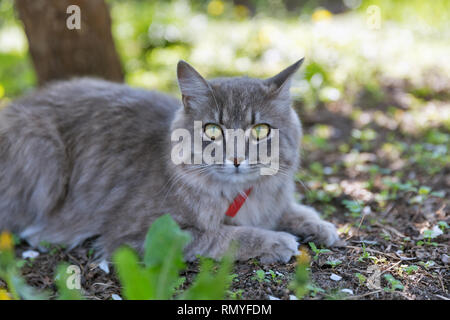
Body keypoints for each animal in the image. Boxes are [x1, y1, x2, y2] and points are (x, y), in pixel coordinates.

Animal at [0, 59, 338, 262]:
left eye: (260, 131)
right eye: (212, 130)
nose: (236, 158)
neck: (240, 196)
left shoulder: (274, 200)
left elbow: (295, 210)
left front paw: (321, 226)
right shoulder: (139, 235)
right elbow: (221, 236)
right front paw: (276, 240)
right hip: (40, 147)